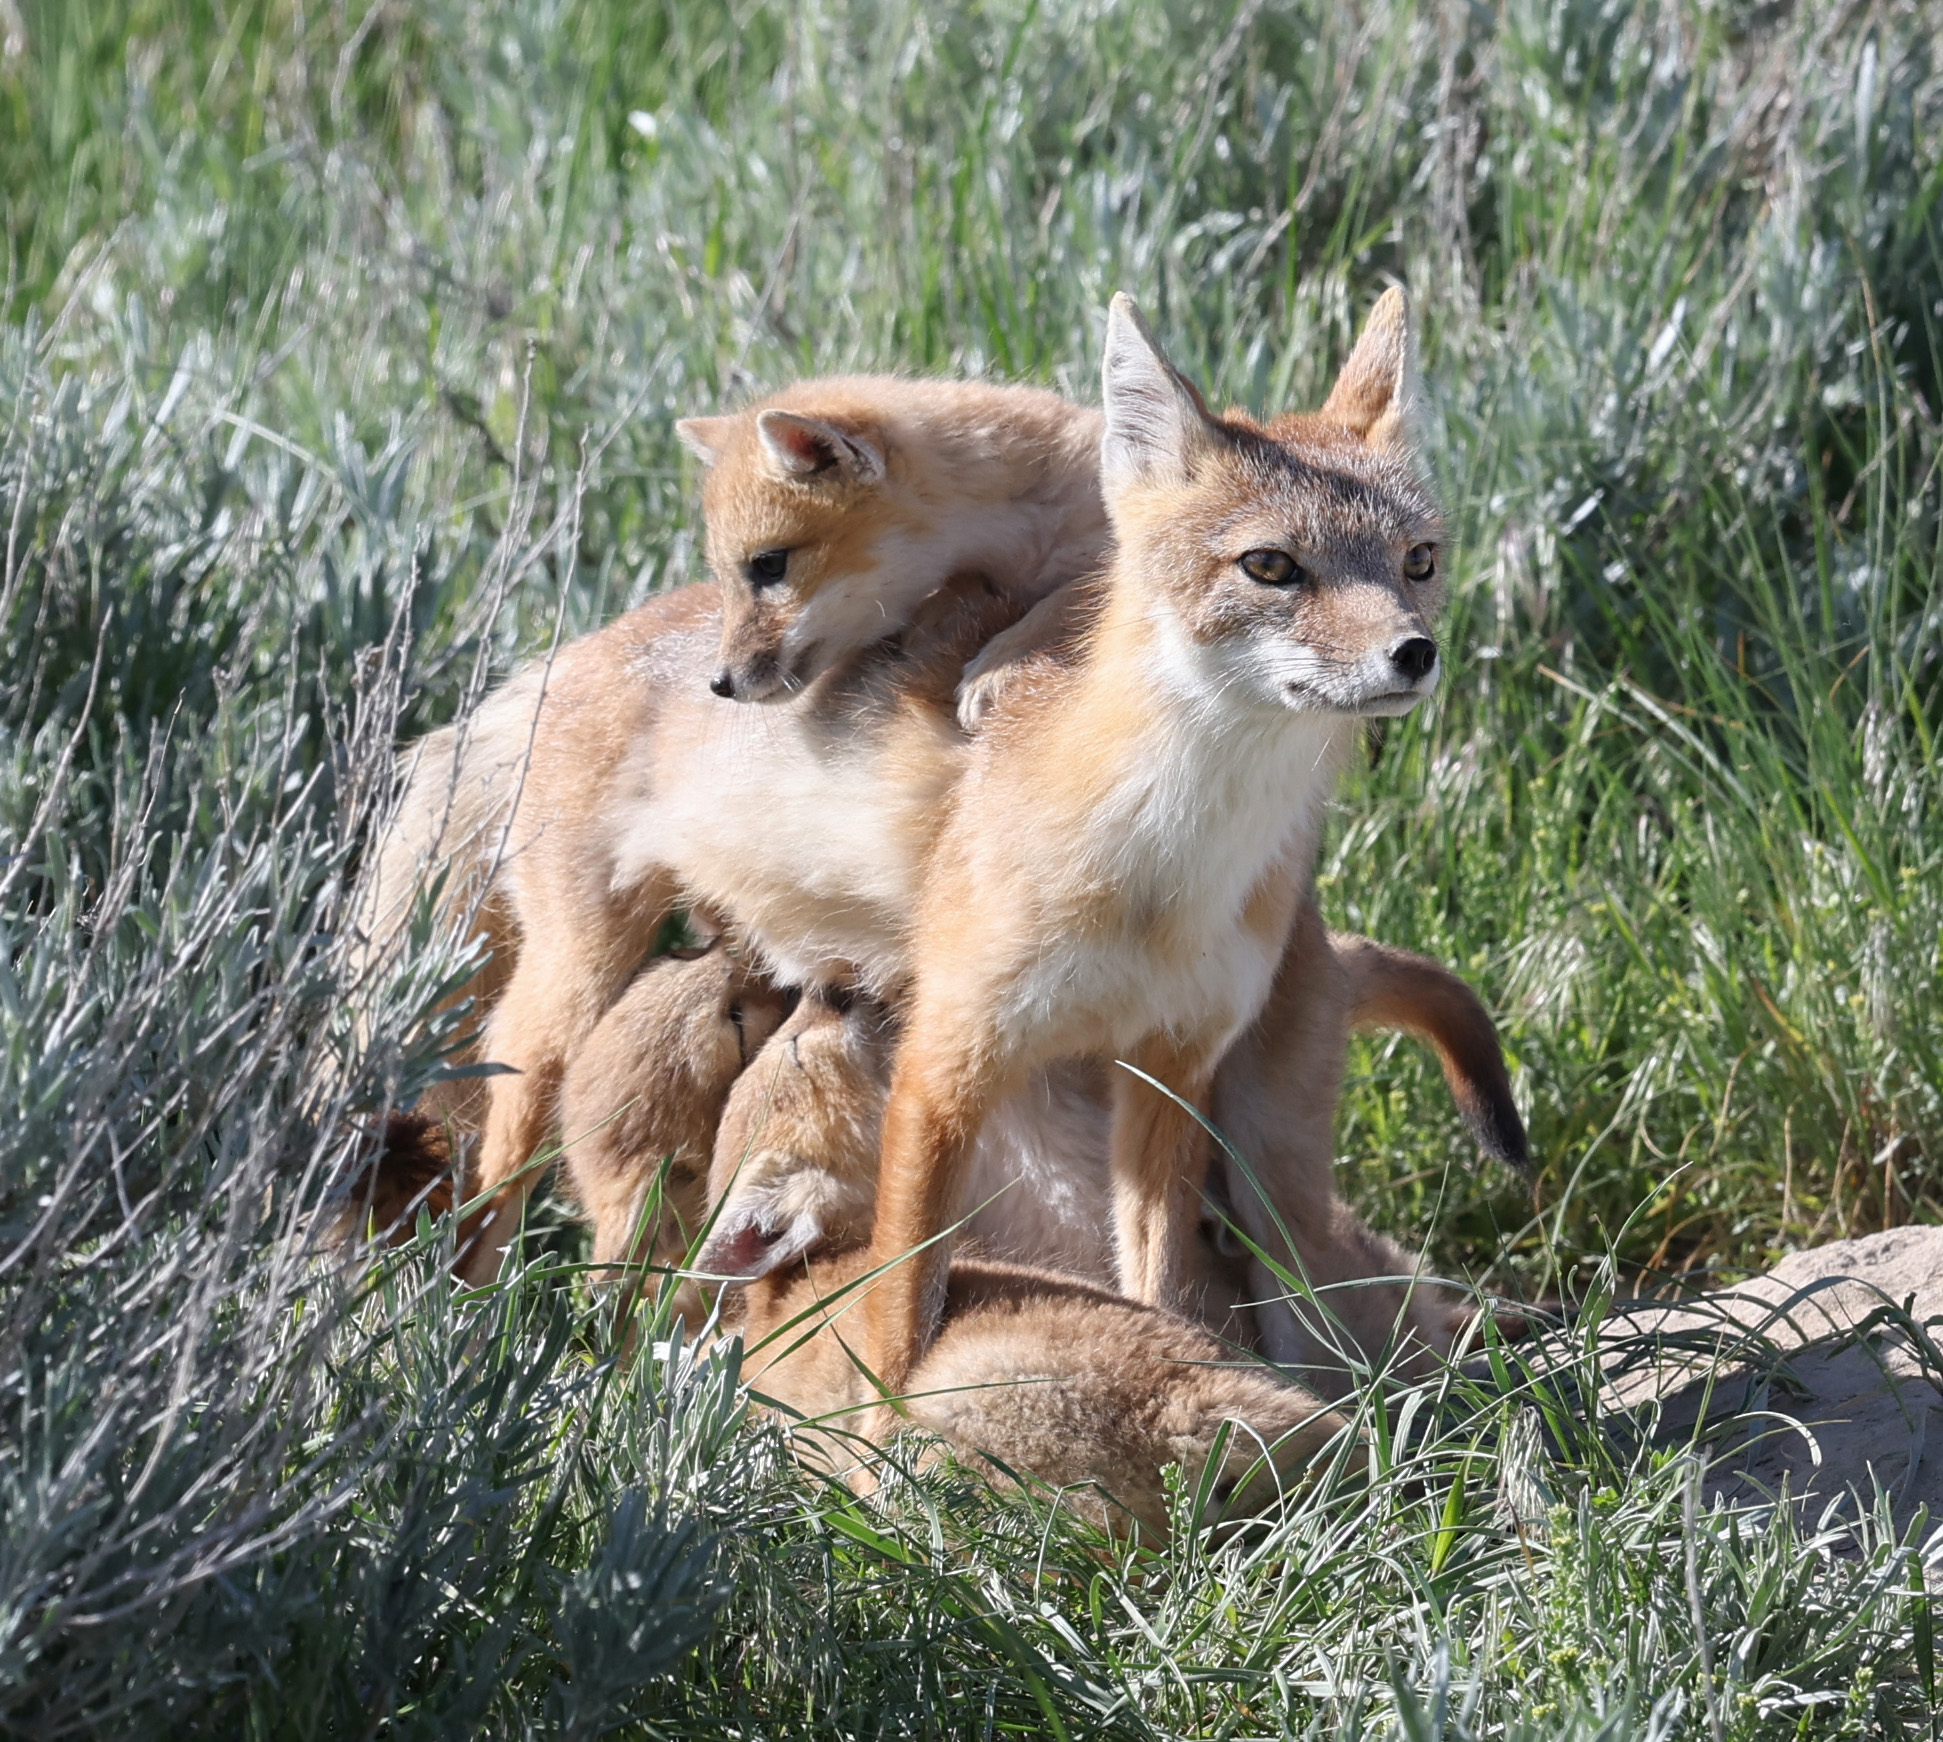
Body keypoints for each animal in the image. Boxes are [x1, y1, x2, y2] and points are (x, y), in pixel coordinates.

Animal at [861, 289, 1449, 1394]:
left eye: (1418, 562)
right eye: (1270, 565)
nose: (1413, 651)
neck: (1154, 874)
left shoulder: (1167, 1070)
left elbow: (1157, 1283)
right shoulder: (941, 1068)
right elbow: (896, 1317)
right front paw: (872, 1434)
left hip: (1264, 1176)